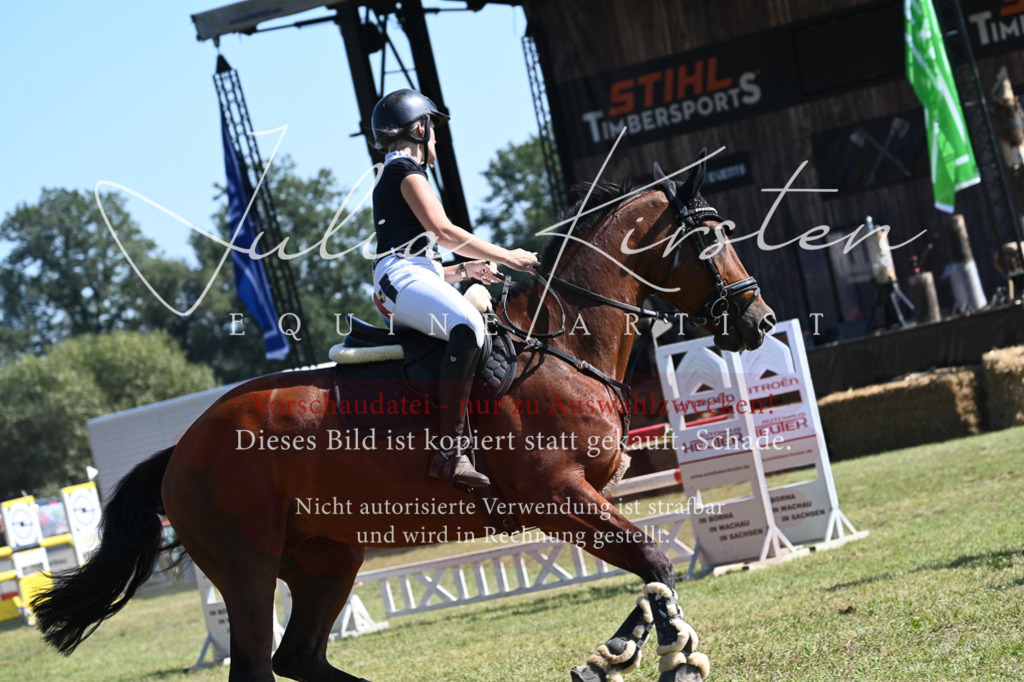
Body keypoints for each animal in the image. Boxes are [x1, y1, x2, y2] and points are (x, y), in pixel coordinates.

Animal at [32, 153, 775, 682]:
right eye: (709, 239)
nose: (759, 321)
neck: (564, 341)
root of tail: (181, 449)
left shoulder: (586, 497)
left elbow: (653, 569)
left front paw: (617, 656)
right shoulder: (555, 495)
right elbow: (655, 557)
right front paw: (666, 660)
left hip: (327, 557)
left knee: (299, 657)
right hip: (246, 567)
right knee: (258, 668)